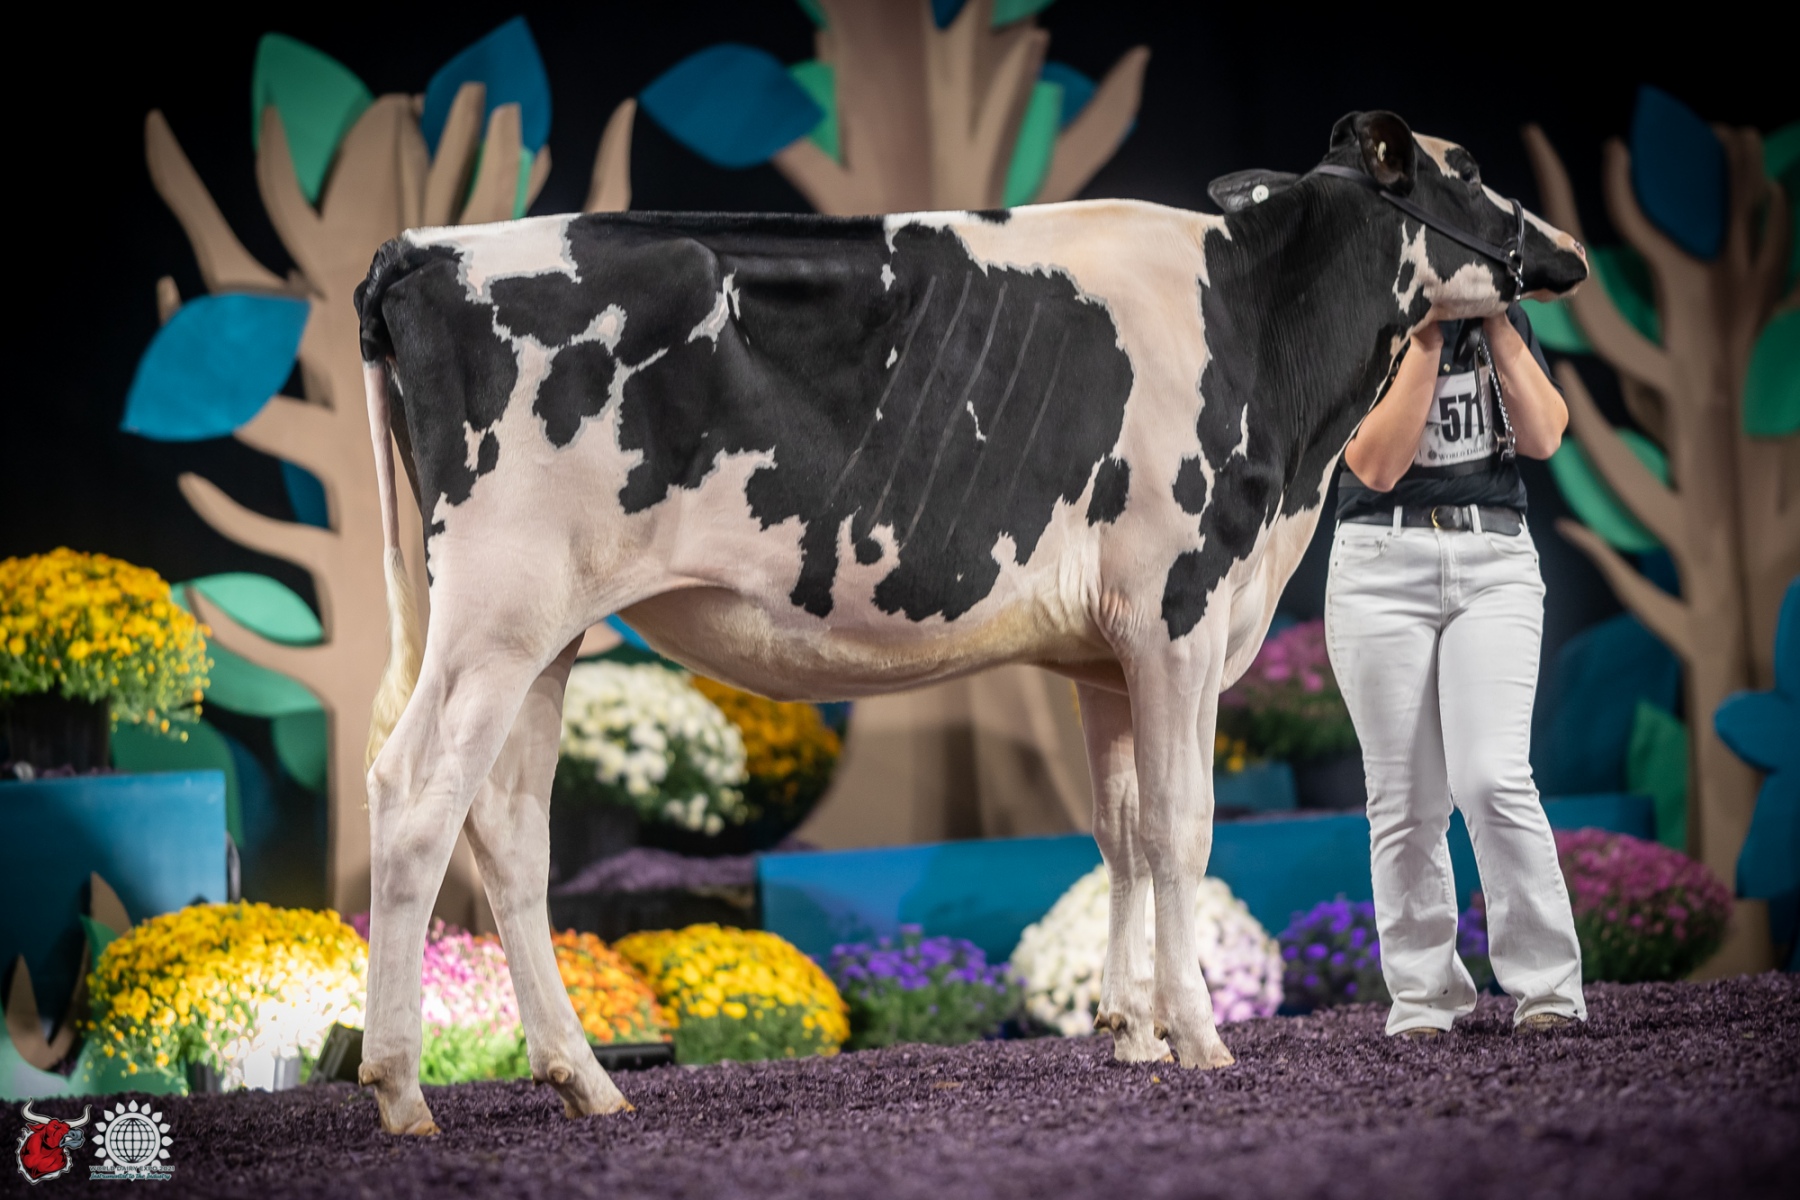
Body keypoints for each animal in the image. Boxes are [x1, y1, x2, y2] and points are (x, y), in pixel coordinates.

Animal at [351, 110, 1587, 1134]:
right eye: (1466, 167)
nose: (1569, 255)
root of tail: (420, 248)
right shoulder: (1179, 609)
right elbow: (1181, 826)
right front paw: (1196, 1036)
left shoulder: (1106, 654)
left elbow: (1120, 831)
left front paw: (1130, 1032)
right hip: (495, 610)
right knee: (414, 797)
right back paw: (403, 1091)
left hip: (544, 636)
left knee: (510, 833)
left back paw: (585, 1080)